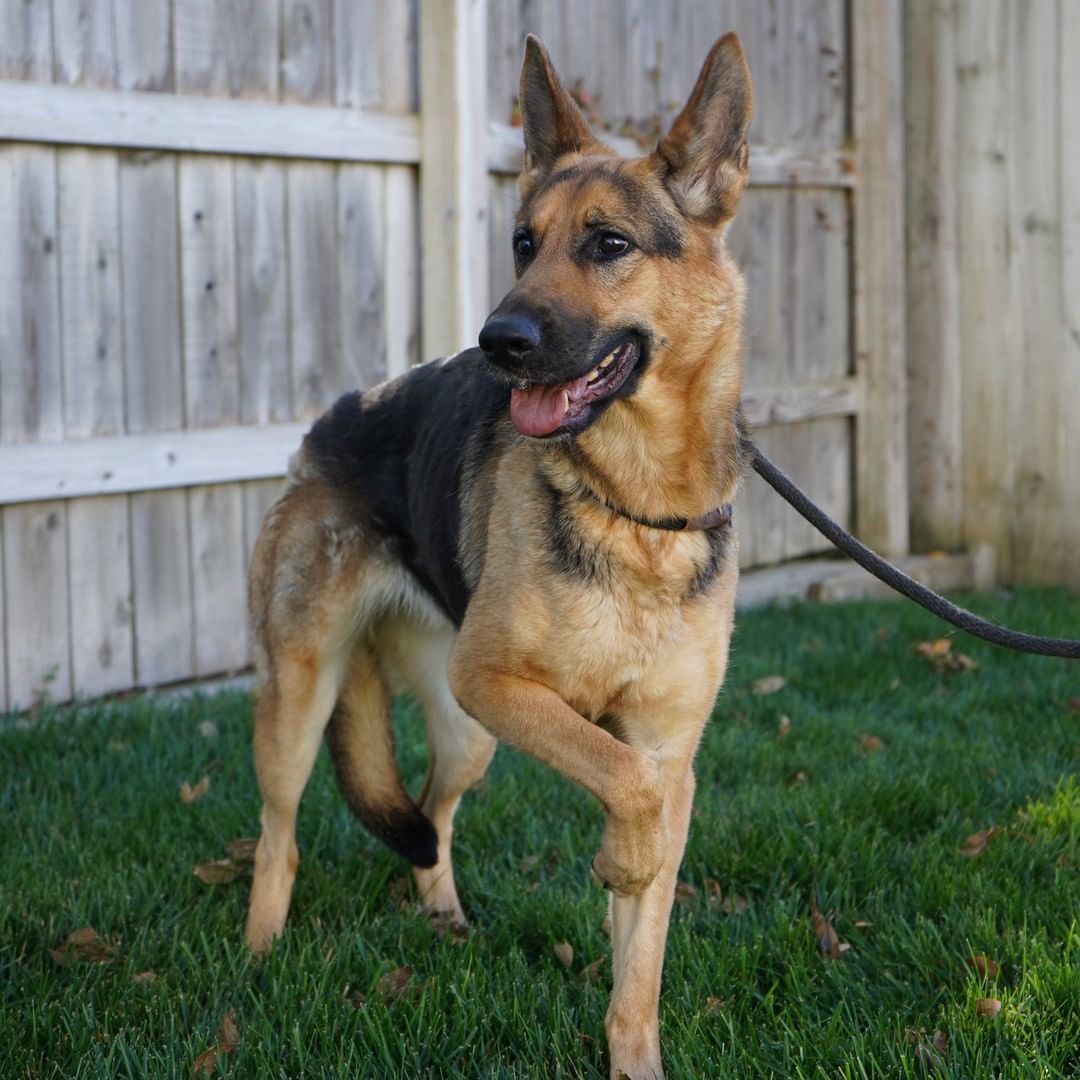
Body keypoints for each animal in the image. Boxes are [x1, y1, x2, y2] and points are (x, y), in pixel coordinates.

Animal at [245, 31, 751, 1080]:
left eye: (608, 244)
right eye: (525, 242)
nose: (496, 341)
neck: (639, 505)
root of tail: (324, 429)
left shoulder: (664, 747)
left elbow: (639, 954)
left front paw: (634, 1049)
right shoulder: (513, 690)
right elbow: (627, 786)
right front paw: (623, 858)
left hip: (468, 729)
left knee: (430, 815)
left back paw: (443, 915)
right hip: (308, 696)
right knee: (280, 835)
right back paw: (258, 956)